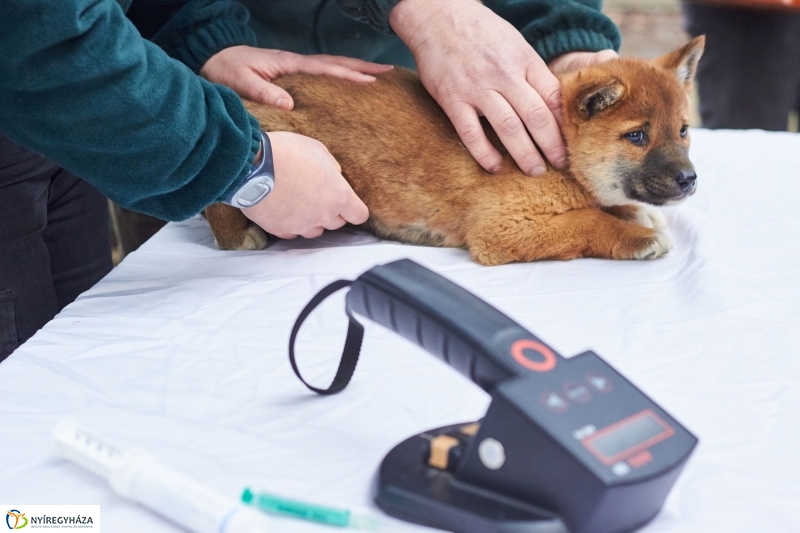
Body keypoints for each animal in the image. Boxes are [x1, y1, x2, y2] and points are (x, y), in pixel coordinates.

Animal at [206, 36, 708, 264]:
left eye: (683, 131)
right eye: (638, 136)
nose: (690, 180)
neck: (562, 160)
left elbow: (606, 208)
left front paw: (633, 214)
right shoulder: (499, 229)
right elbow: (586, 221)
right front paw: (635, 235)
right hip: (277, 136)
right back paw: (236, 233)